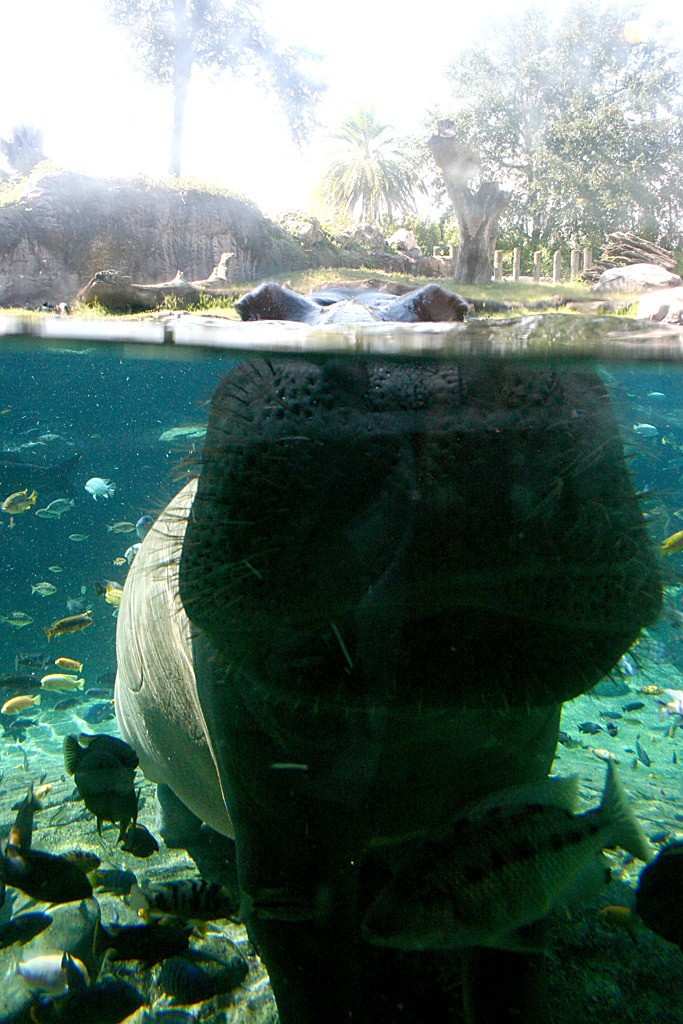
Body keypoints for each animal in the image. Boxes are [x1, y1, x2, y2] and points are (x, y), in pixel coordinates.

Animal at [115, 282, 661, 1023]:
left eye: (460, 301)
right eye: (254, 307)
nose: (394, 362)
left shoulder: (518, 774)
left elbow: (509, 962)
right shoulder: (280, 834)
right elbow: (309, 965)